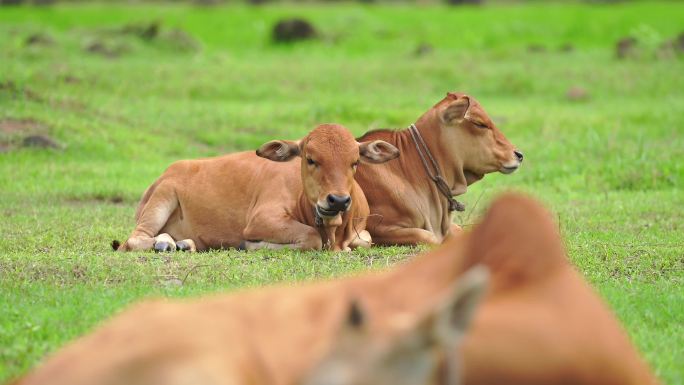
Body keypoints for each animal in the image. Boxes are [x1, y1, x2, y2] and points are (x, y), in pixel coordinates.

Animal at [115, 123, 398, 254]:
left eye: (355, 162)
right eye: (310, 159)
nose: (337, 200)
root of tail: (165, 173)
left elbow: (365, 241)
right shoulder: (262, 220)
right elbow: (310, 238)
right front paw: (249, 245)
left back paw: (180, 243)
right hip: (162, 200)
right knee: (133, 240)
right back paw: (163, 244)